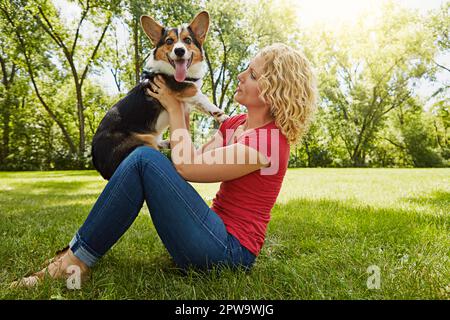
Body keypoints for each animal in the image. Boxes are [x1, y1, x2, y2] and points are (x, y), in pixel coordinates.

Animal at [90, 11, 229, 181]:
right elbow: (203, 98)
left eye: (187, 40)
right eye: (169, 41)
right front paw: (222, 114)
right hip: (144, 144)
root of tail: (97, 163)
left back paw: (167, 143)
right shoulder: (183, 88)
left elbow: (202, 106)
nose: (179, 51)